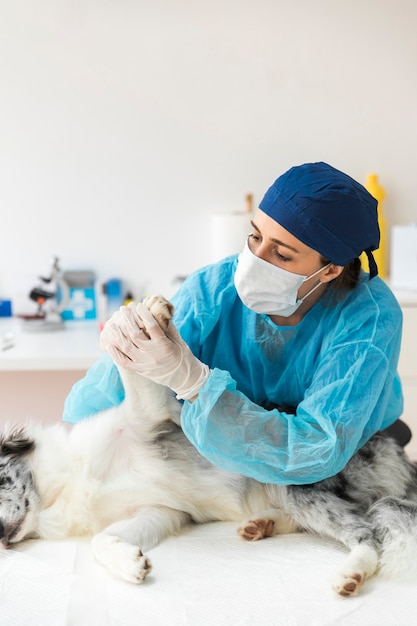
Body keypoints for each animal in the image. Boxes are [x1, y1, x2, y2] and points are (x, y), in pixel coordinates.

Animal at [0, 294, 416, 592]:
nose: (3, 539)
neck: (61, 487)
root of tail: (395, 453)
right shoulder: (162, 512)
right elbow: (101, 540)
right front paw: (131, 564)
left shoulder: (148, 415)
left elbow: (132, 371)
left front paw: (146, 317)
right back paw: (263, 525)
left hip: (300, 484)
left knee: (368, 533)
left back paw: (350, 573)